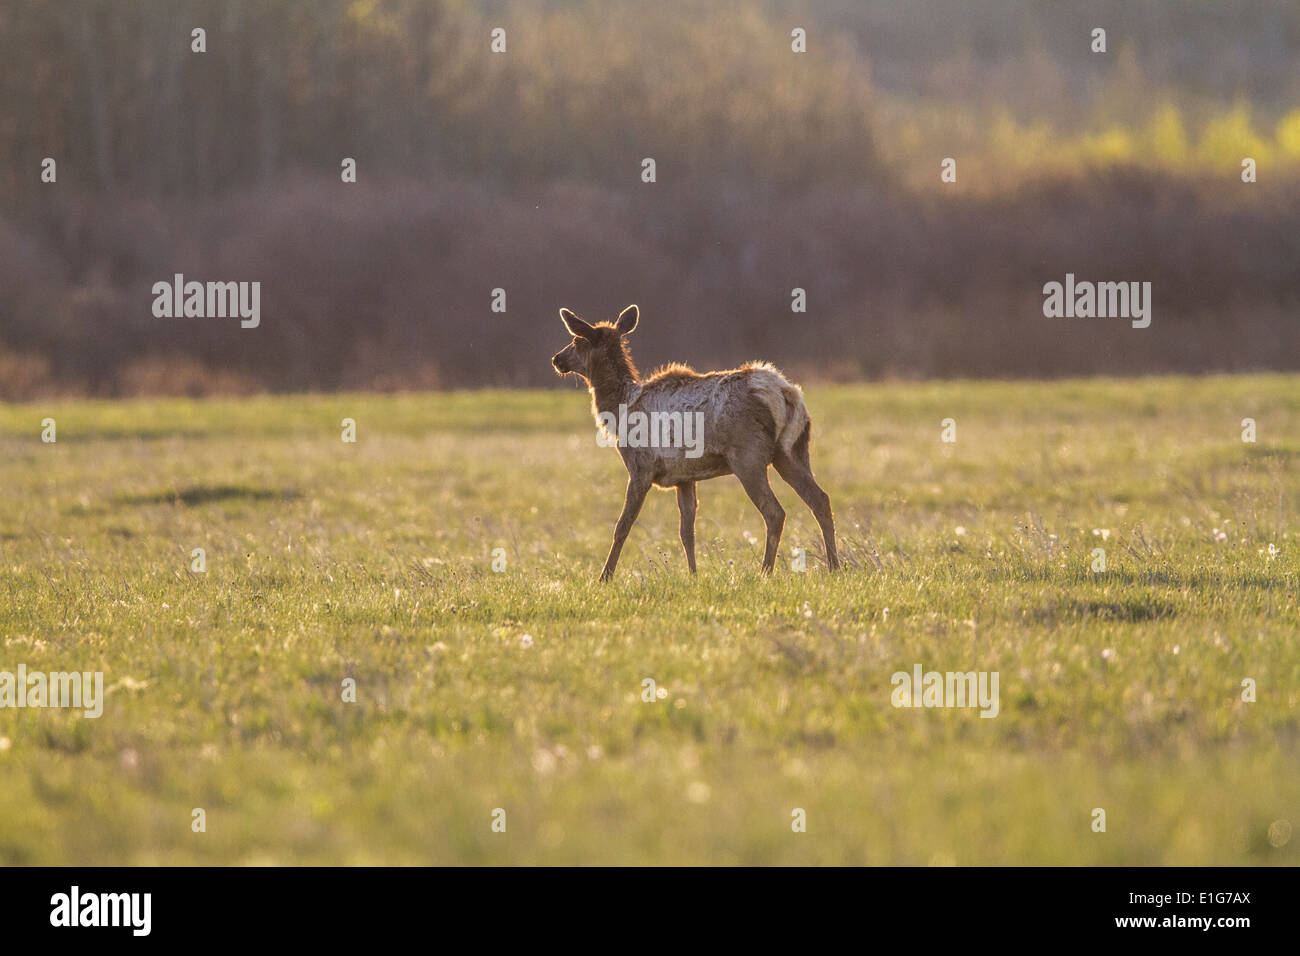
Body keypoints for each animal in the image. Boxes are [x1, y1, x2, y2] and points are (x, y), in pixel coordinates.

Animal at [551, 303, 842, 580]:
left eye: (577, 340)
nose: (556, 359)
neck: (620, 409)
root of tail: (785, 392)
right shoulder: (684, 477)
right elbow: (686, 531)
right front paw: (693, 575)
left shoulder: (640, 467)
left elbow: (622, 525)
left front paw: (604, 577)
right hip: (793, 450)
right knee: (821, 500)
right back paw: (834, 567)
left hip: (748, 456)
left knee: (775, 512)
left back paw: (765, 572)